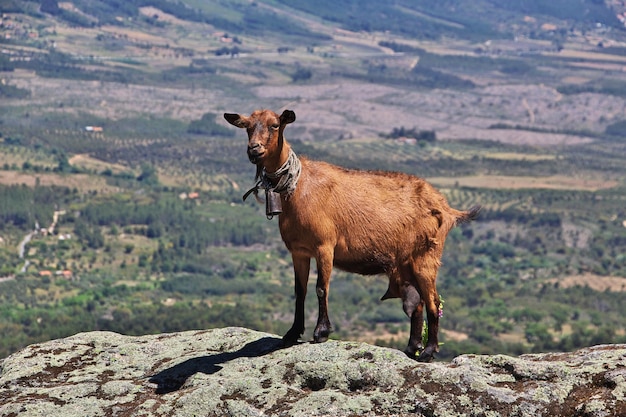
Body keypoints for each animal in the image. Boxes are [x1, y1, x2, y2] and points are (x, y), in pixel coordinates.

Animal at [223, 108, 478, 360]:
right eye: (247, 126)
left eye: (275, 125)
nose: (254, 149)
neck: (299, 189)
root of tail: (445, 207)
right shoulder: (299, 251)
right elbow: (299, 291)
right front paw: (292, 334)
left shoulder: (325, 246)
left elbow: (321, 288)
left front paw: (321, 332)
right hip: (406, 262)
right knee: (416, 303)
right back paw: (411, 348)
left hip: (427, 256)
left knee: (433, 301)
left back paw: (428, 351)